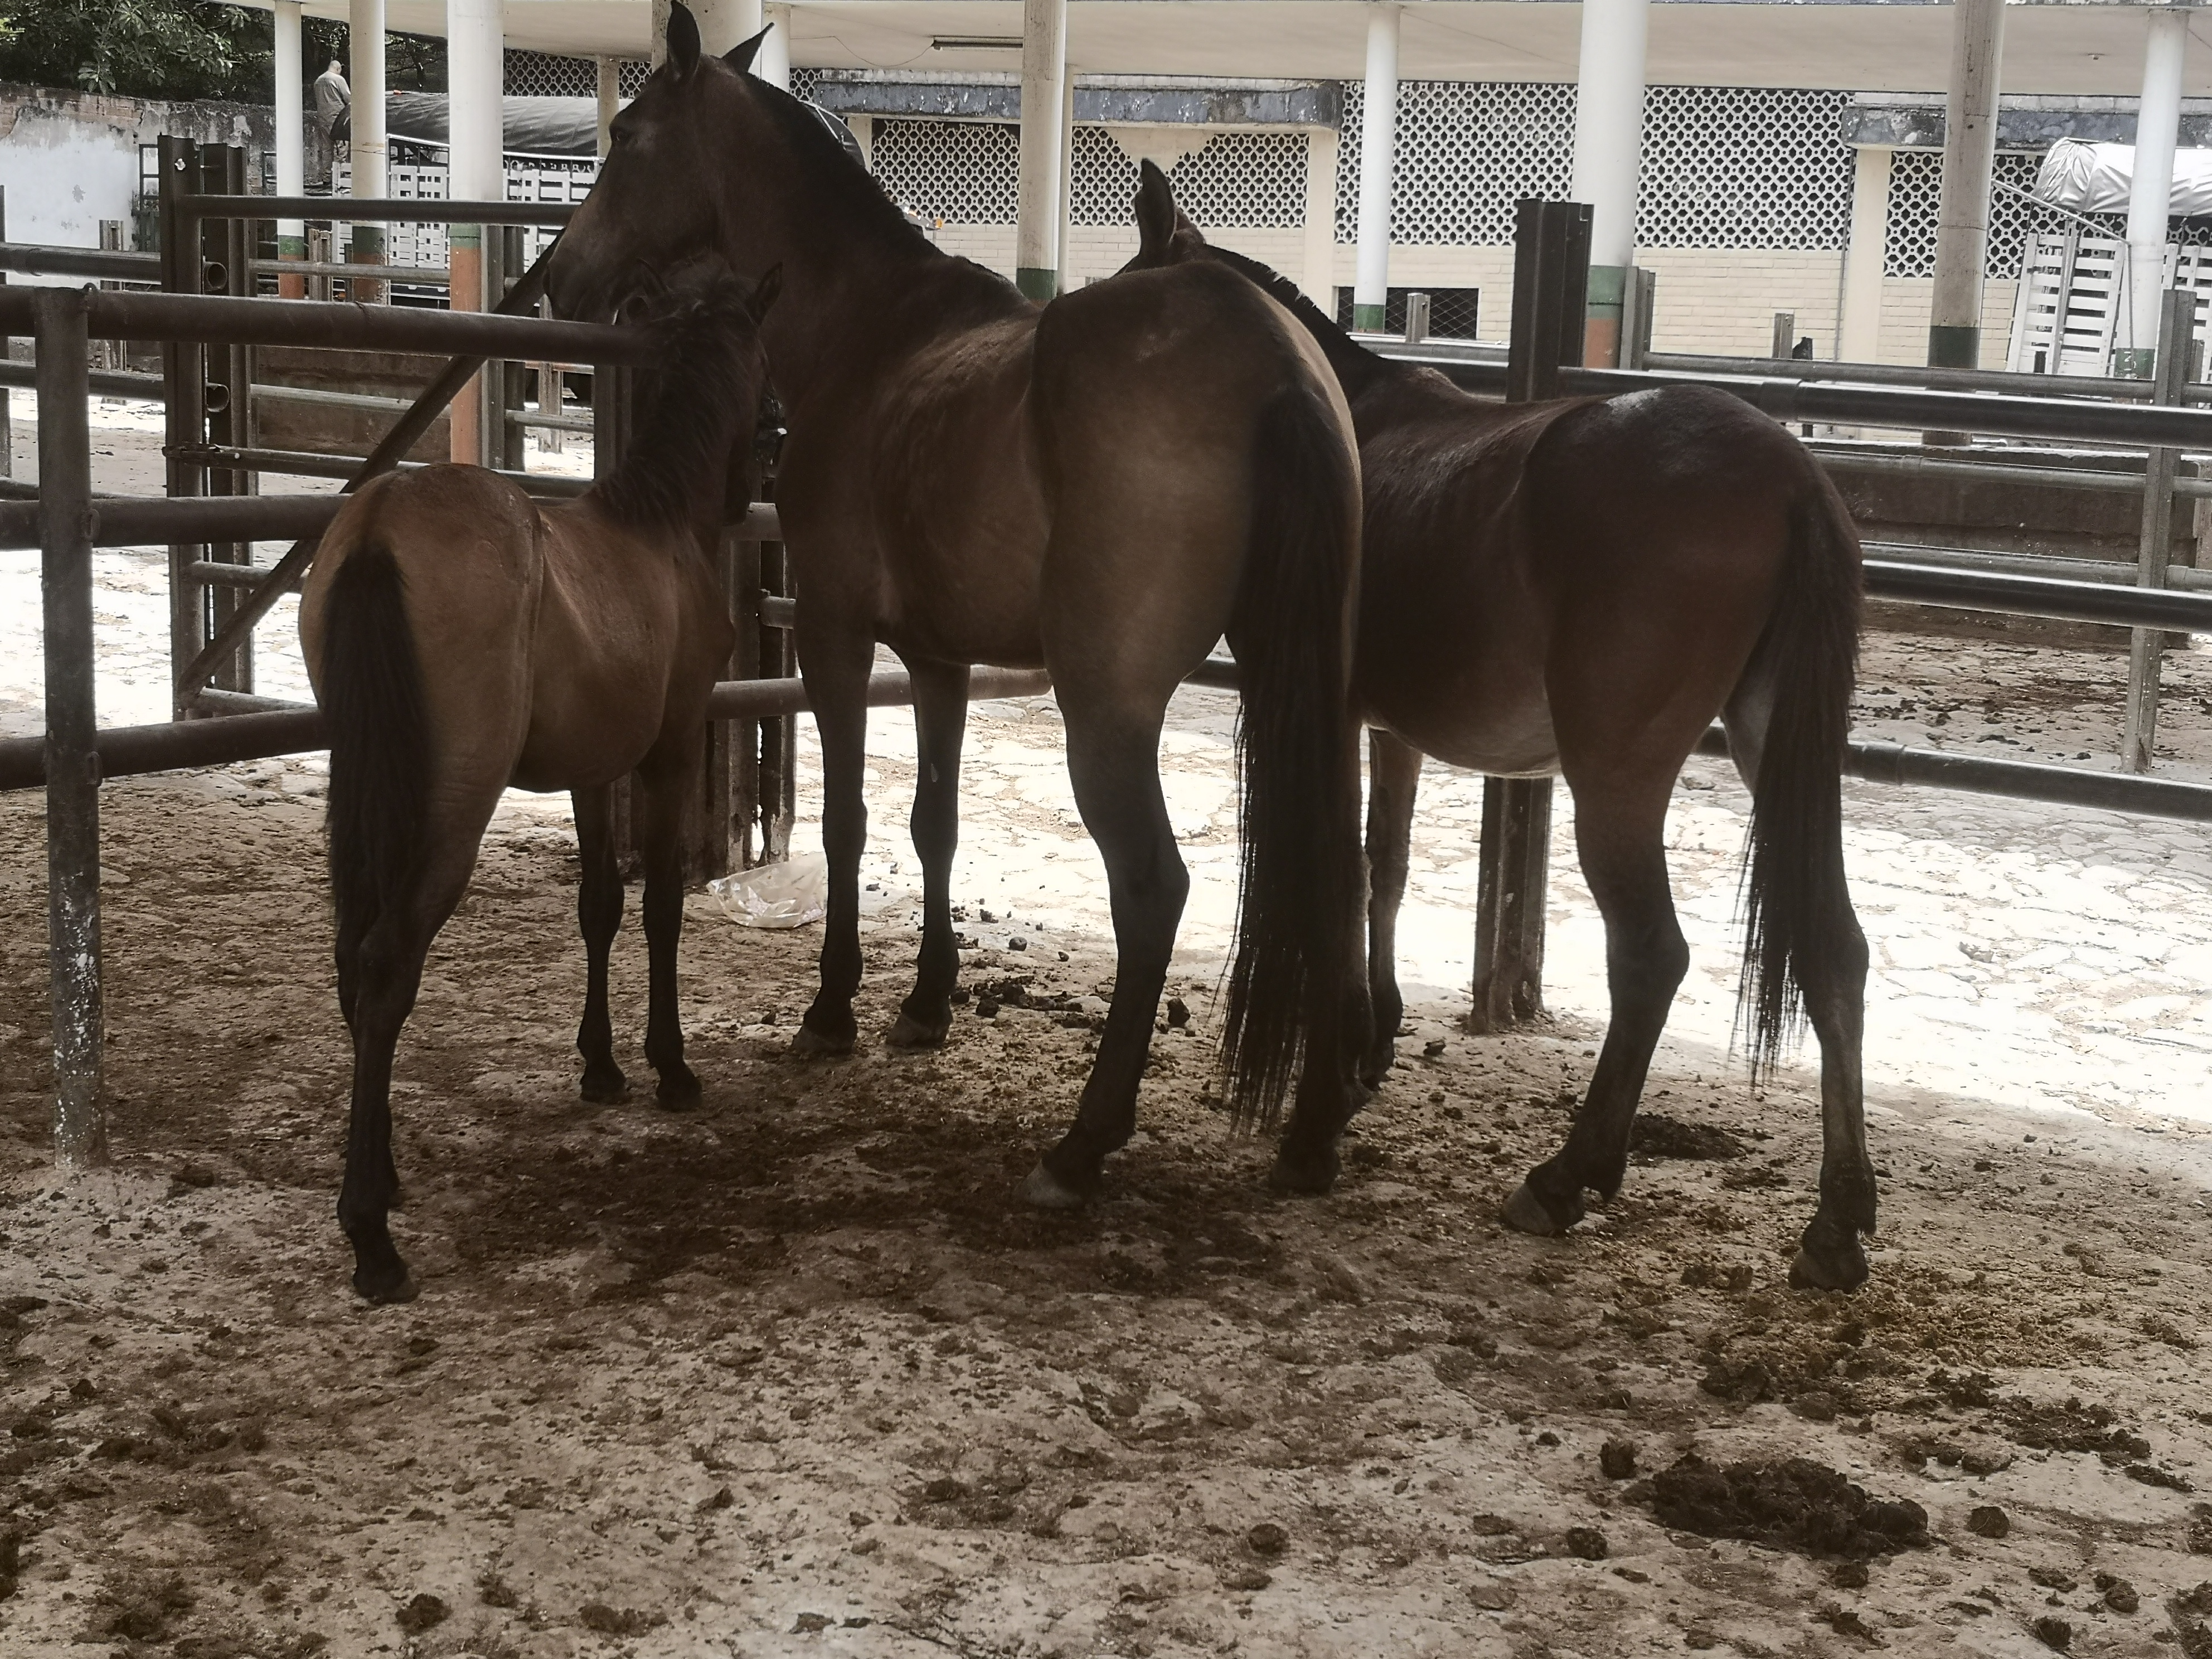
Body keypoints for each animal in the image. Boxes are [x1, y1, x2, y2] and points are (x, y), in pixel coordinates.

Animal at [298, 268, 779, 1303]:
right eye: (769, 369)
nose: (769, 450)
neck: (659, 530)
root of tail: (379, 526)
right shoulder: (668, 751)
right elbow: (662, 907)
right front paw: (670, 1066)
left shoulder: (592, 774)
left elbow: (598, 907)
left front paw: (600, 1067)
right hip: (451, 810)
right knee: (385, 964)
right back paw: (371, 1237)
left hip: (370, 791)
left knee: (353, 960)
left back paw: (385, 1174)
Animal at [545, 5, 1371, 1211]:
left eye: (626, 134)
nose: (556, 279)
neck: (871, 330)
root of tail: (1273, 362)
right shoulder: (936, 660)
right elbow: (934, 824)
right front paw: (927, 1003)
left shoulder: (836, 638)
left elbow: (848, 822)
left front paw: (832, 1010)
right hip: (1302, 688)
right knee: (1328, 872)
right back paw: (1309, 1132)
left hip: (1108, 712)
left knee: (1154, 889)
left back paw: (1083, 1141)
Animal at [1122, 164, 1876, 1292]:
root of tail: (1792, 477)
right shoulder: (1385, 724)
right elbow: (1380, 868)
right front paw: (1368, 1049)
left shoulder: (1319, 707)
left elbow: (1336, 870)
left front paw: (1323, 1105)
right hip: (1775, 753)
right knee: (1834, 950)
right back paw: (1835, 1222)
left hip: (1617, 773)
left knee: (1649, 956)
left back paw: (1566, 1177)